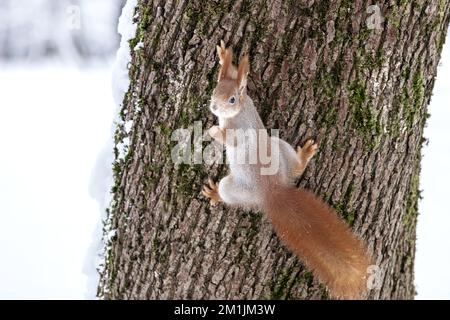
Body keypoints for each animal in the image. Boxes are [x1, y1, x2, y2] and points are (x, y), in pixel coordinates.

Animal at [202, 41, 370, 298]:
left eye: (231, 99)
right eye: (215, 90)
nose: (213, 106)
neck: (241, 108)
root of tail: (274, 192)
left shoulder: (239, 130)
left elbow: (230, 139)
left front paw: (214, 132)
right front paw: (224, 58)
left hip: (235, 187)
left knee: (228, 193)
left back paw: (215, 194)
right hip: (280, 148)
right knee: (296, 170)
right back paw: (304, 156)